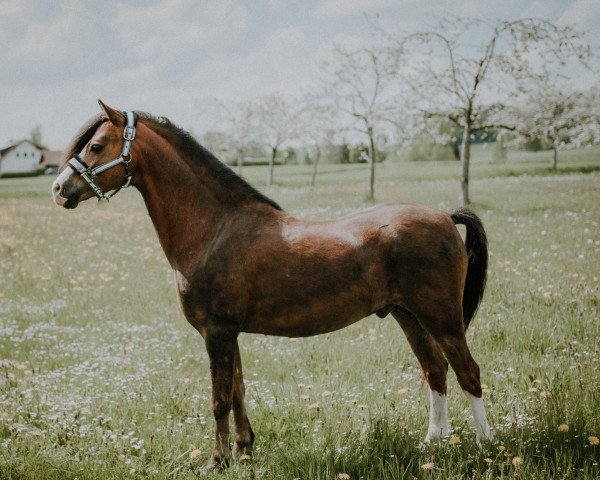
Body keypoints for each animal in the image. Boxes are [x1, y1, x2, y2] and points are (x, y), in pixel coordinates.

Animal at [51, 101, 492, 472]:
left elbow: (219, 399)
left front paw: (216, 461)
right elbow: (239, 391)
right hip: (408, 316)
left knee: (468, 372)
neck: (215, 228)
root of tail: (443, 215)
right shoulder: (229, 333)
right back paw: (434, 442)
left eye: (96, 145)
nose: (59, 189)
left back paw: (486, 447)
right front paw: (244, 450)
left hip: (443, 317)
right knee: (435, 371)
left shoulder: (217, 332)